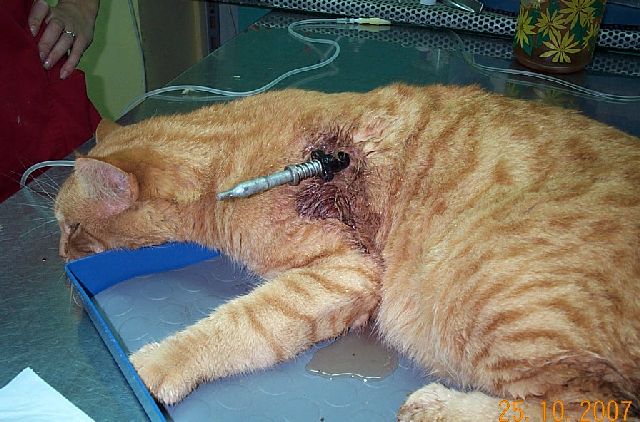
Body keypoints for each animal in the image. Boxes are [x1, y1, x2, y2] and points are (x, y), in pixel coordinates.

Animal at [54, 84, 640, 421]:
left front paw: (160, 363)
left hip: (490, 300)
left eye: (71, 226)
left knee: (594, 409)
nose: (59, 260)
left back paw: (438, 407)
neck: (221, 151)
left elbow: (240, 324)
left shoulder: (347, 271)